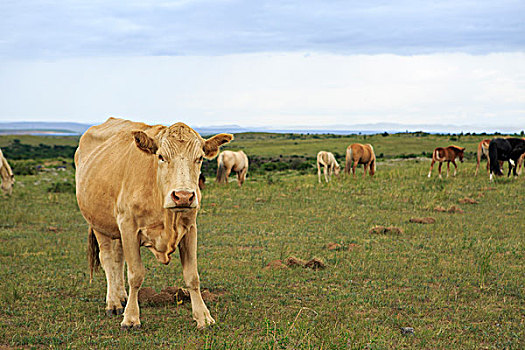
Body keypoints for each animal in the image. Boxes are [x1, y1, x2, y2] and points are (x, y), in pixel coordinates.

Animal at [74, 117, 231, 328]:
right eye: (161, 156)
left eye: (199, 158)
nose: (183, 196)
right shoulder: (129, 227)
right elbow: (135, 275)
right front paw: (131, 318)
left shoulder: (190, 228)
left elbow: (192, 276)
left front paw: (203, 317)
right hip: (99, 224)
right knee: (107, 259)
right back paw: (113, 303)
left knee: (117, 259)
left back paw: (121, 297)